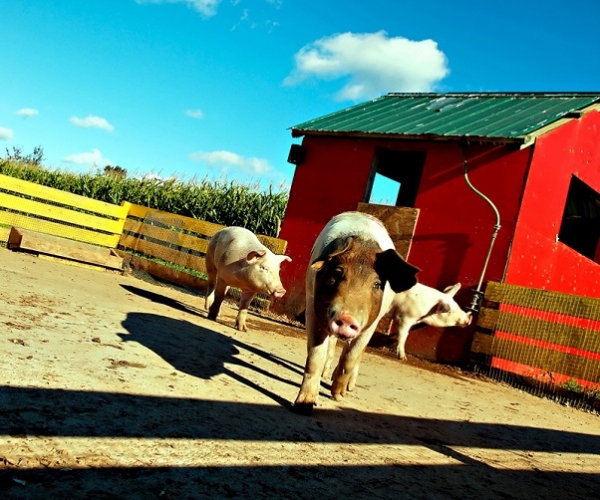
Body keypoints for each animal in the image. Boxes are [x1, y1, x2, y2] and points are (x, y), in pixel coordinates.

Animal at [292, 211, 420, 414]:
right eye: (336, 273)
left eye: (377, 284)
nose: (346, 317)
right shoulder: (312, 308)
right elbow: (315, 357)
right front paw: (303, 406)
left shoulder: (371, 324)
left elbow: (350, 358)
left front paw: (337, 396)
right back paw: (326, 376)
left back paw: (346, 389)